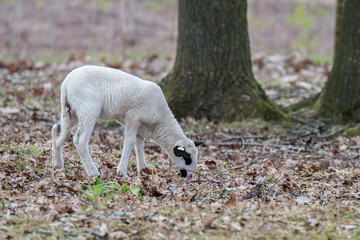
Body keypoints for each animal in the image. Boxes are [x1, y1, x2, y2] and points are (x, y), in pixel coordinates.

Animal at [51, 65, 202, 178]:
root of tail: (66, 84)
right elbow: (129, 142)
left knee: (57, 129)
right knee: (80, 141)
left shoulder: (141, 128)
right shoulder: (133, 119)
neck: (160, 120)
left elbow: (139, 146)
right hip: (88, 109)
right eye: (187, 157)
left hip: (71, 111)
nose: (190, 176)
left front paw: (142, 170)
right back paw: (93, 173)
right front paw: (122, 172)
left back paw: (58, 165)